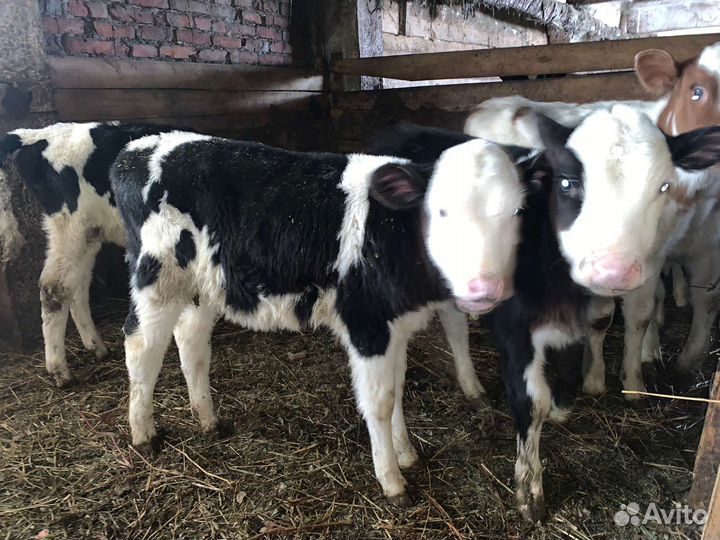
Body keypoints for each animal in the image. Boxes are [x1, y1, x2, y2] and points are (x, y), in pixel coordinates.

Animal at [109, 130, 527, 504]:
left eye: (516, 212)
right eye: (441, 210)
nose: (487, 285)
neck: (391, 233)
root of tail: (135, 150)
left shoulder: (395, 328)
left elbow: (397, 387)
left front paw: (406, 453)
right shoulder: (367, 325)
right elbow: (380, 401)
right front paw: (392, 481)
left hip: (205, 284)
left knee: (192, 342)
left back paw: (208, 420)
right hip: (157, 277)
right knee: (142, 346)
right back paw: (145, 433)